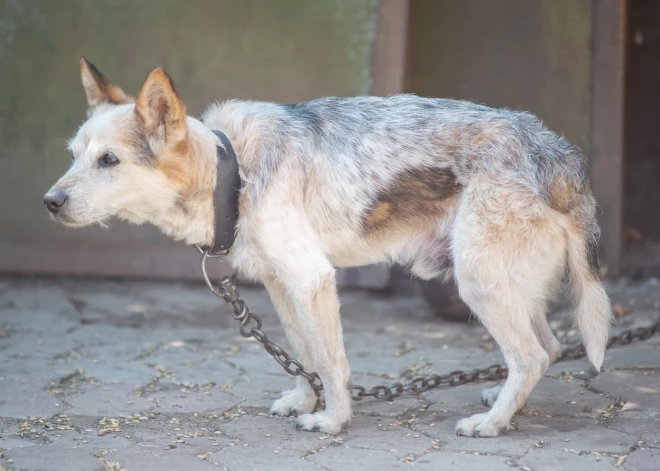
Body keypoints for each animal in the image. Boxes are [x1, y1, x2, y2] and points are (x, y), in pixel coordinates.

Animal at [43, 60, 612, 438]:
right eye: (73, 156)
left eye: (109, 160)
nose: (49, 202)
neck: (234, 173)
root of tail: (560, 153)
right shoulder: (280, 286)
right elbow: (302, 353)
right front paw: (302, 401)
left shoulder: (312, 279)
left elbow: (332, 363)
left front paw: (334, 420)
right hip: (507, 287)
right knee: (548, 348)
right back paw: (505, 403)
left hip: (480, 284)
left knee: (532, 355)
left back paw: (492, 423)